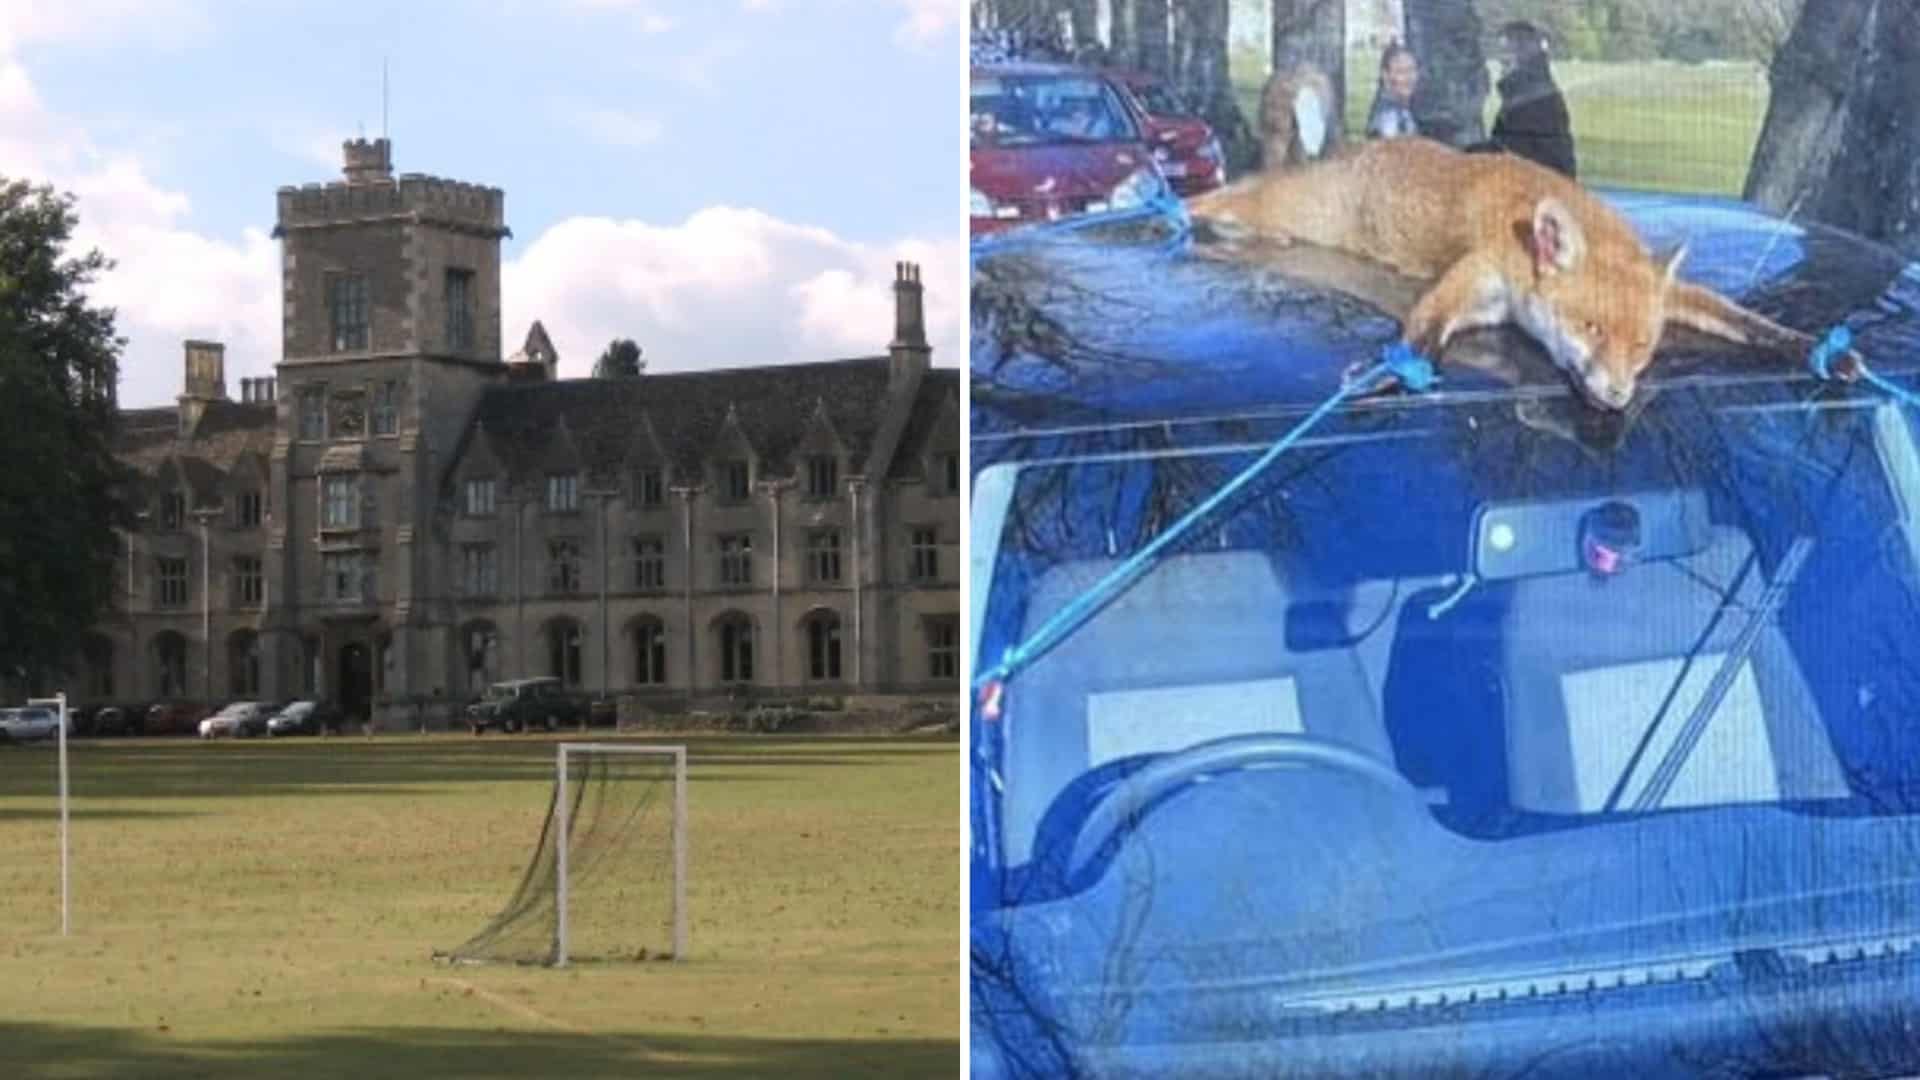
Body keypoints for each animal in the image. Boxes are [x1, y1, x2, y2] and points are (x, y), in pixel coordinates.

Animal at [1182, 131, 1858, 407]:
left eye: (1643, 345)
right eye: (1589, 329)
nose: (1618, 396)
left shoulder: (1679, 297)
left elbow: (1749, 320)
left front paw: (1819, 350)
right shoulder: (1473, 277)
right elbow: (1424, 332)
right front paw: (1394, 372)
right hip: (1269, 208)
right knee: (1214, 201)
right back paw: (1168, 211)